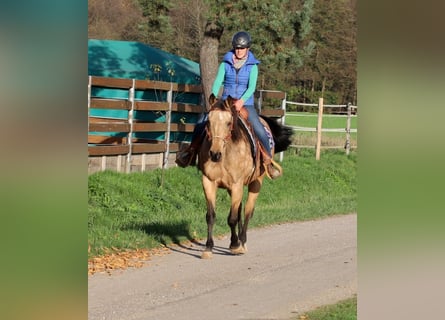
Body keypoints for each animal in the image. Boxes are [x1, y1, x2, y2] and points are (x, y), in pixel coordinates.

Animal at [197, 94, 292, 258]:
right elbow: (211, 216)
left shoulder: (237, 185)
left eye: (229, 123)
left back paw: (242, 241)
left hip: (256, 183)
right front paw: (208, 248)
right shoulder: (209, 182)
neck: (226, 152)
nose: (214, 154)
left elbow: (232, 218)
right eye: (209, 121)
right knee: (240, 210)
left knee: (248, 211)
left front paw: (236, 245)